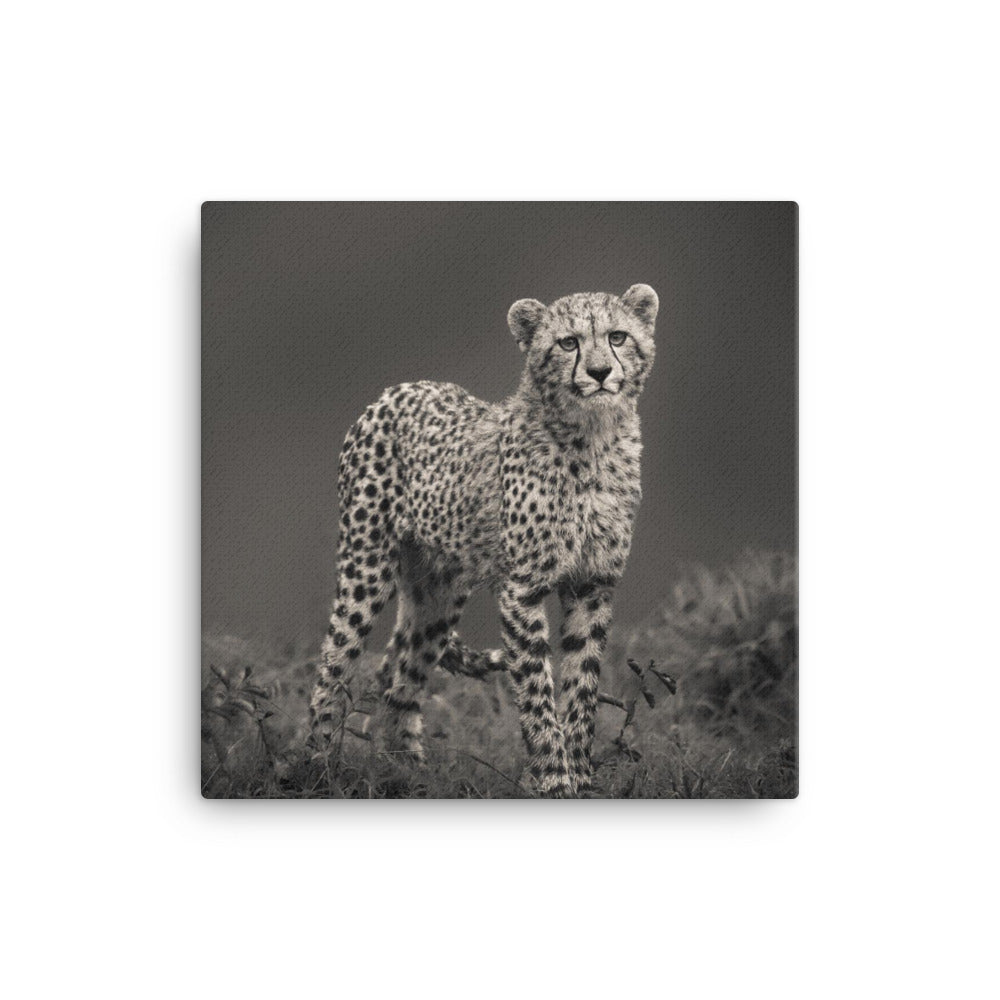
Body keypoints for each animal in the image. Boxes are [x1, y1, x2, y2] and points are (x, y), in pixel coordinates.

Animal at [309, 284, 659, 796]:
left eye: (617, 336)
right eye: (568, 343)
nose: (599, 372)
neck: (592, 438)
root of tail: (399, 389)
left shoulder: (592, 585)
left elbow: (582, 689)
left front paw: (580, 777)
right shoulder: (522, 590)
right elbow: (537, 694)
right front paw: (555, 780)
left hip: (438, 591)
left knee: (401, 676)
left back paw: (408, 771)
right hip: (366, 567)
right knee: (334, 663)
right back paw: (315, 766)